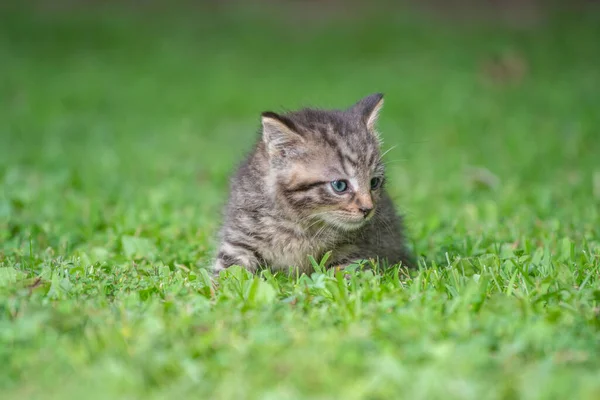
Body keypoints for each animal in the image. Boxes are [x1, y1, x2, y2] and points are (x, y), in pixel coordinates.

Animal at [213, 94, 414, 276]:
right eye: (340, 186)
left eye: (374, 182)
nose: (368, 209)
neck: (302, 223)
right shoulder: (240, 238)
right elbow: (227, 273)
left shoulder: (360, 248)